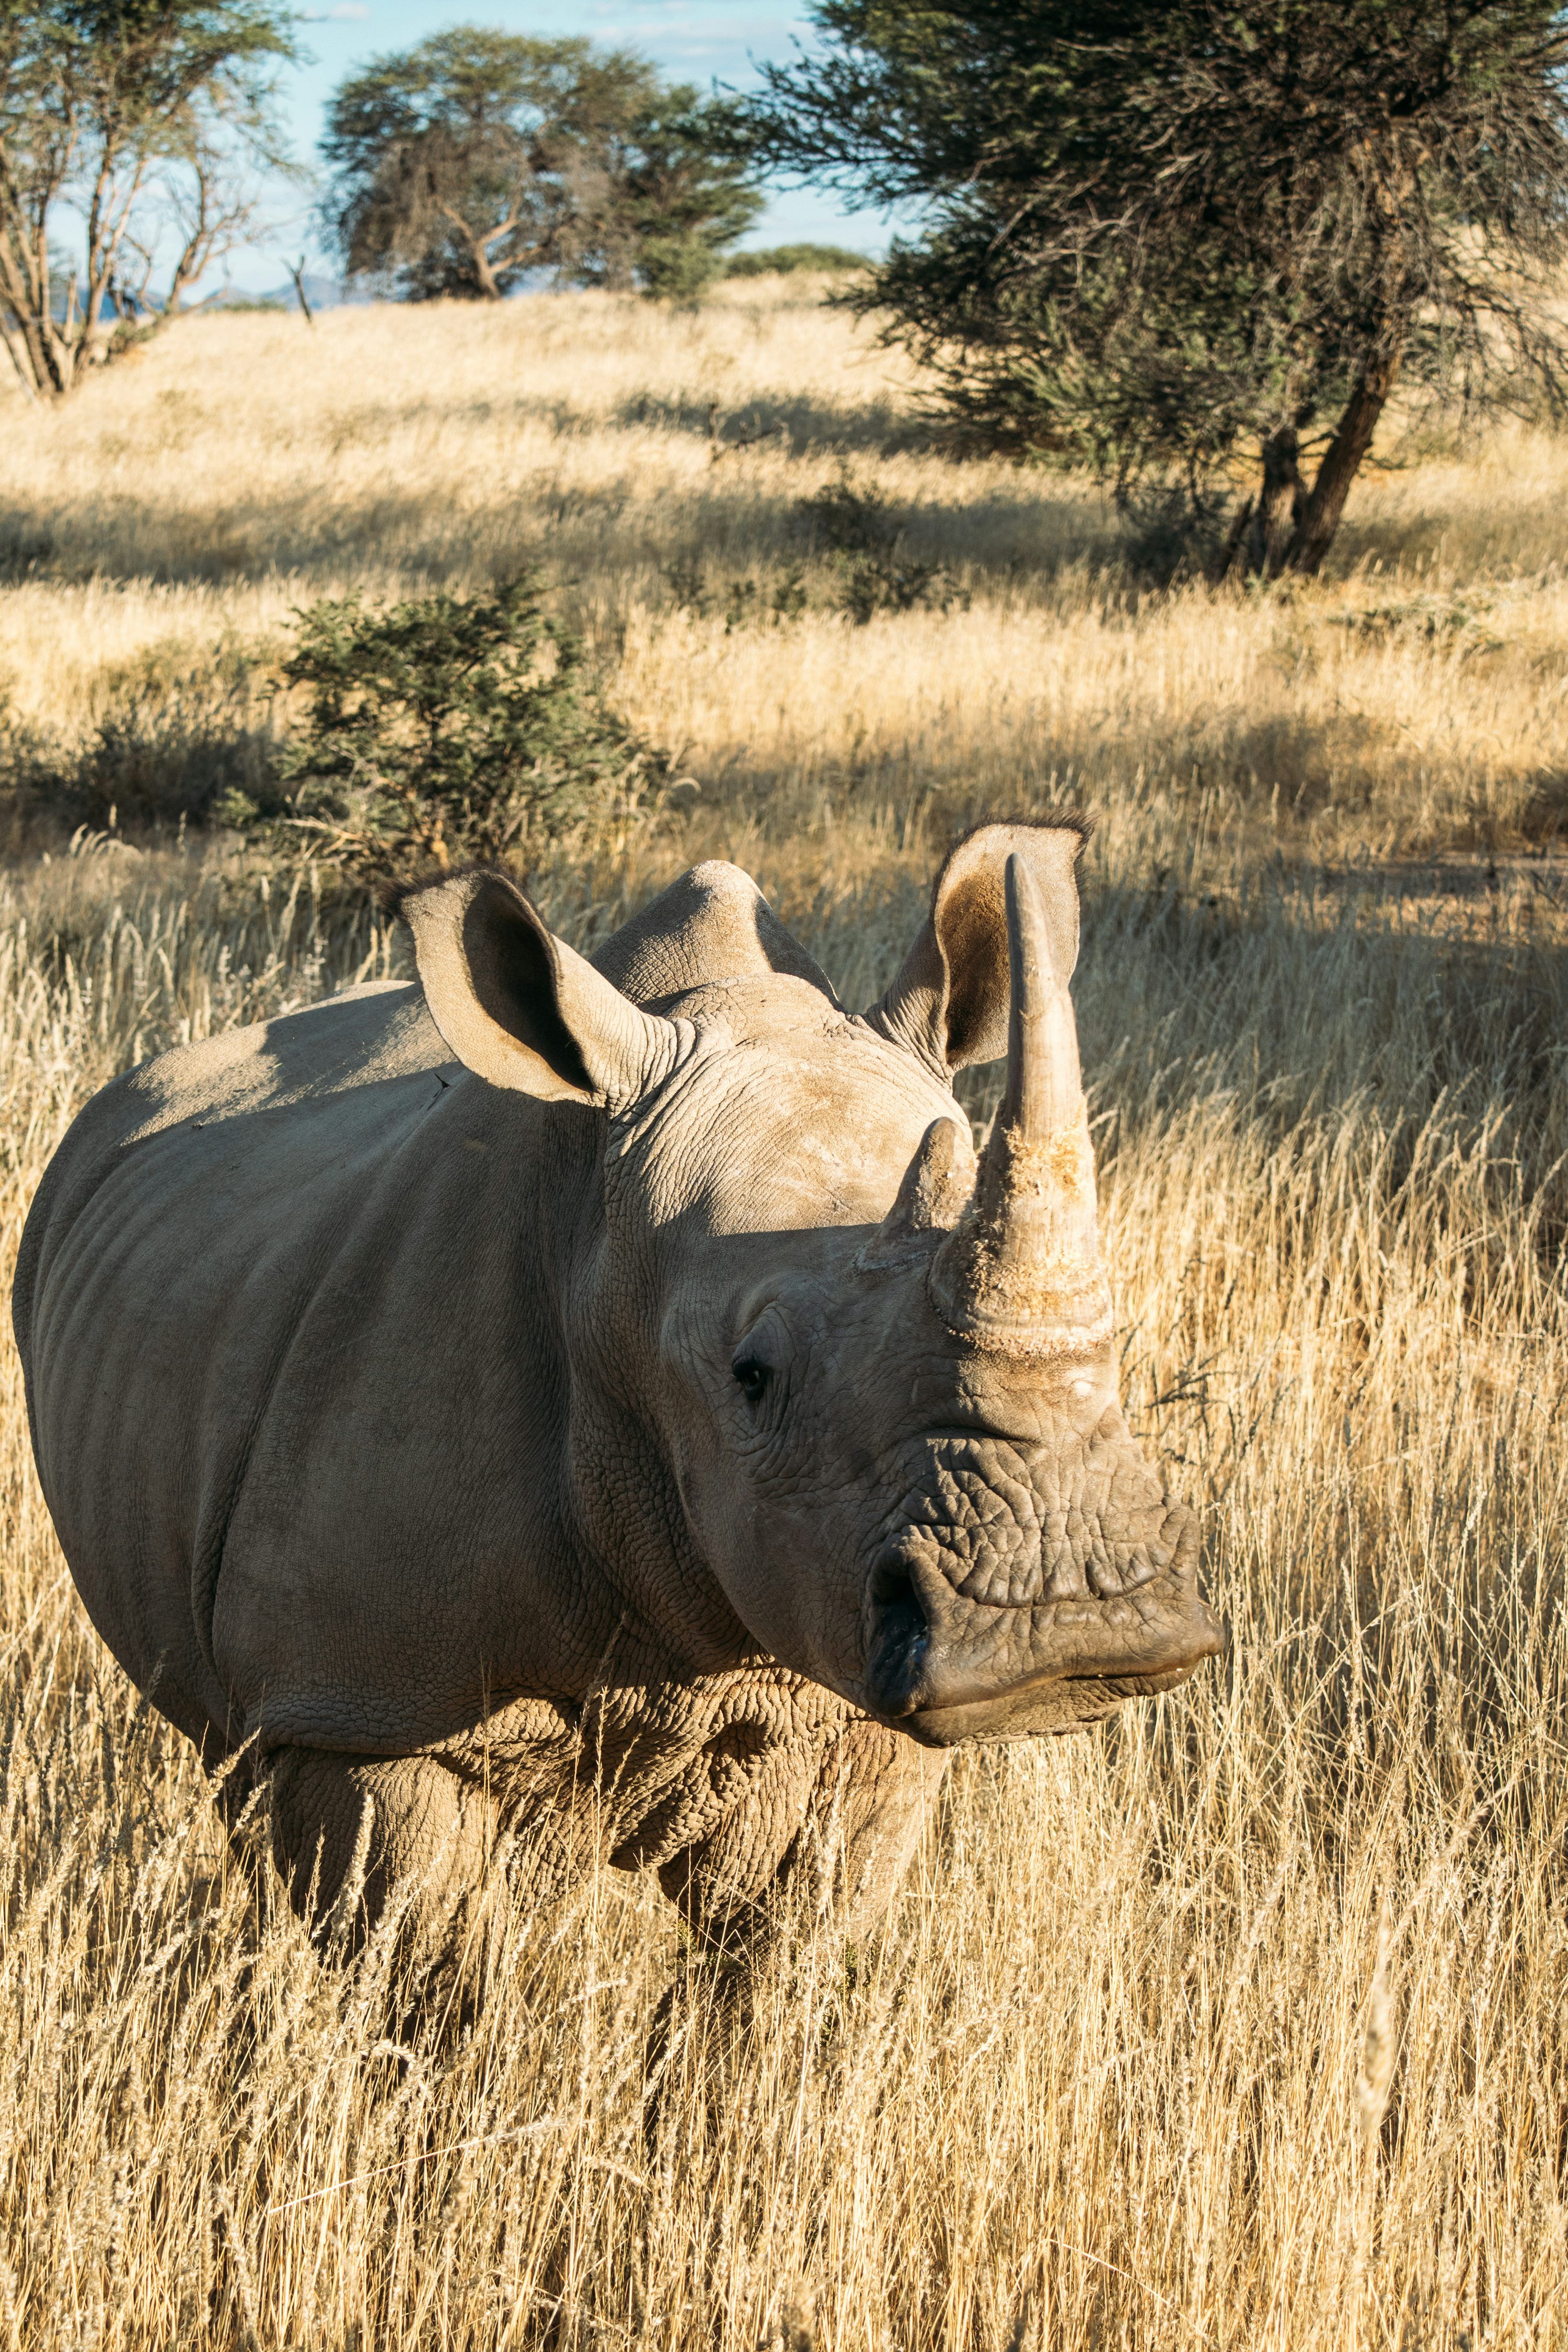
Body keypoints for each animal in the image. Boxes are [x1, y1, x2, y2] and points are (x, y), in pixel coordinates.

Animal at [13, 820, 1220, 1966]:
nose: (1068, 1614)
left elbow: (776, 1971)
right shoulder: (359, 1704)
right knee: (232, 1754)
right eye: (751, 1378)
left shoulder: (855, 1708)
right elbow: (437, 1979)